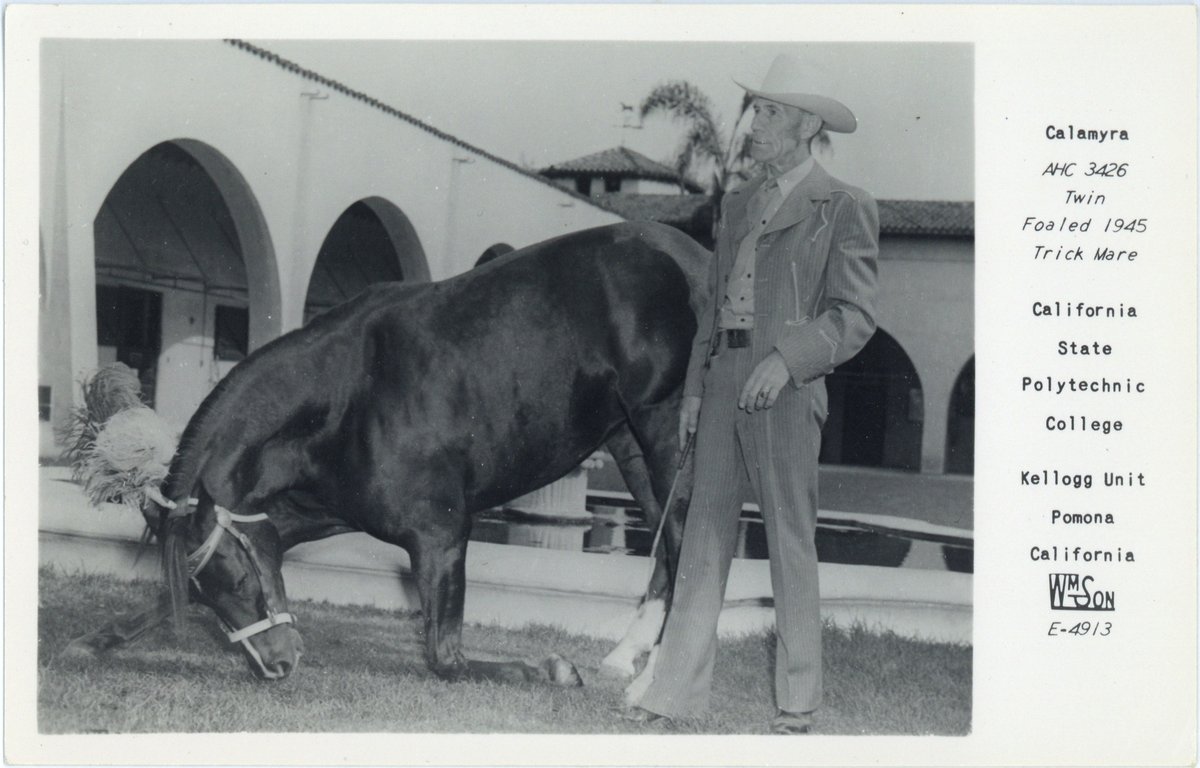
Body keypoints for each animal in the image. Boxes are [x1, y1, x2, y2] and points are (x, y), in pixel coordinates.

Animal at [65, 222, 707, 687]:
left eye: (237, 579)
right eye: (206, 592)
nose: (278, 664)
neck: (349, 398)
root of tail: (691, 255)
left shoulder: (442, 535)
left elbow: (445, 659)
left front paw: (550, 668)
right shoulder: (291, 519)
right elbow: (164, 595)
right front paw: (93, 641)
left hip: (664, 432)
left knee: (683, 537)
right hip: (629, 445)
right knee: (665, 550)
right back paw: (628, 655)